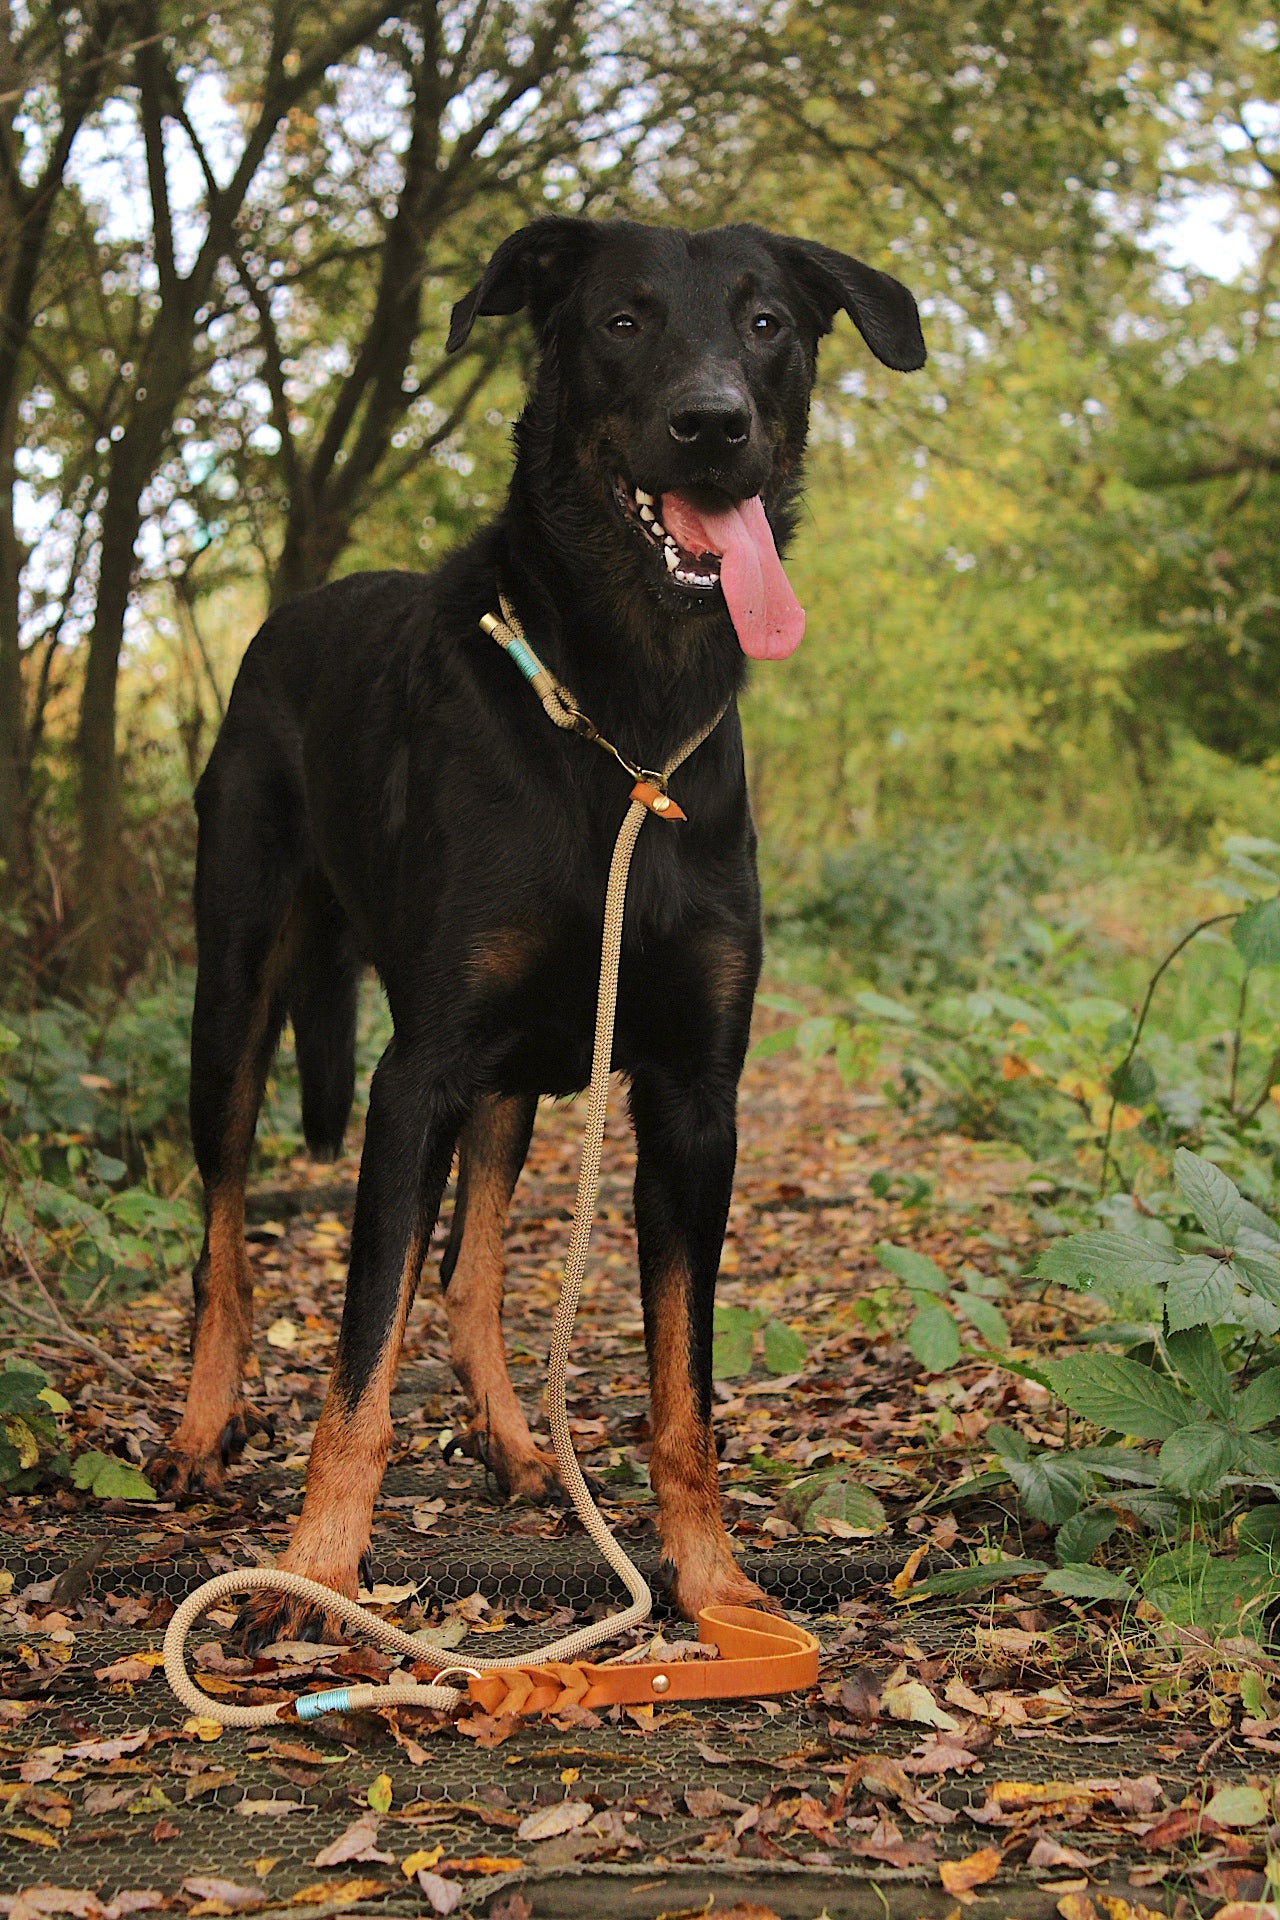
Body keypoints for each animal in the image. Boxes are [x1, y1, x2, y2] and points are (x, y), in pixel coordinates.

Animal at [155, 217, 924, 1643]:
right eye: (621, 322)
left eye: (768, 323)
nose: (712, 425)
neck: (624, 713)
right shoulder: (417, 1077)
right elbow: (357, 1368)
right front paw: (314, 1574)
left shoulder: (692, 1099)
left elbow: (682, 1389)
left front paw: (713, 1583)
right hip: (232, 997)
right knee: (225, 1244)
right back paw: (198, 1430)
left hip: (510, 1077)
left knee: (469, 1280)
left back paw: (519, 1447)